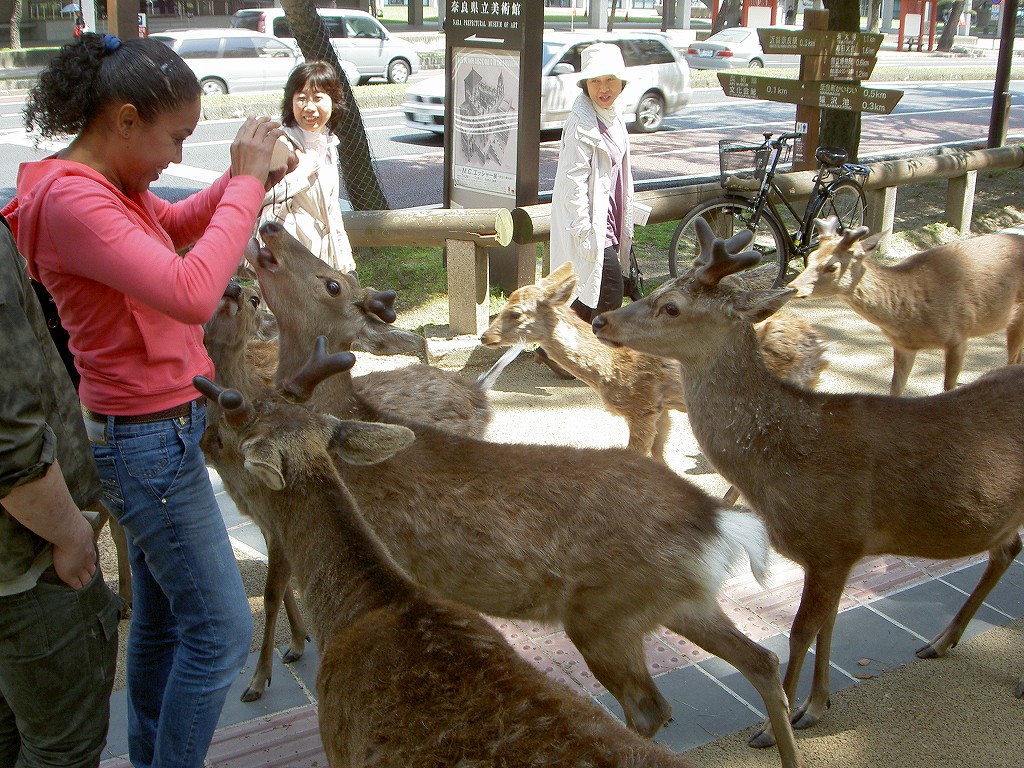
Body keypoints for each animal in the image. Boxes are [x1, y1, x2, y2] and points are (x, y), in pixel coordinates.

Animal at [481, 261, 829, 463]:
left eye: (516, 313)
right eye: (508, 299)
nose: (486, 336)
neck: (608, 369)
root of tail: (821, 349)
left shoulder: (642, 406)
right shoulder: (662, 409)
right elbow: (659, 455)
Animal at [789, 217, 1024, 395]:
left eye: (832, 266)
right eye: (811, 257)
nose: (793, 287)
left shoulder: (959, 334)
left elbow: (948, 387)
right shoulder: (903, 346)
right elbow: (896, 389)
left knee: (1012, 360)